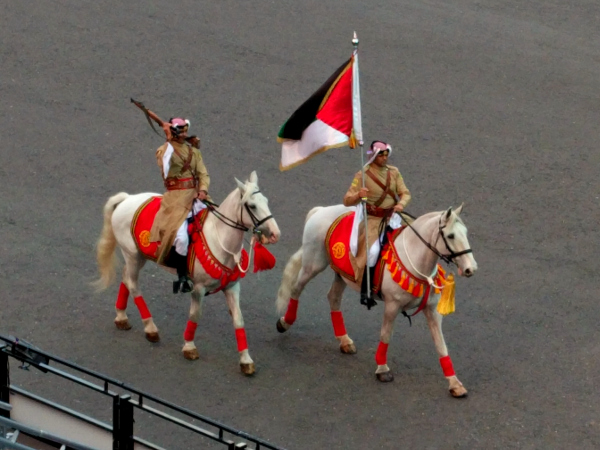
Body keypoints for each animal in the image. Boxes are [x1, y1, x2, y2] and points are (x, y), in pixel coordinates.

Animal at [95, 171, 280, 374]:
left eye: (266, 201)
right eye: (252, 206)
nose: (275, 233)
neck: (219, 239)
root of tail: (127, 198)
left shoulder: (232, 287)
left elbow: (239, 320)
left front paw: (245, 360)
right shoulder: (198, 288)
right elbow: (195, 315)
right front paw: (189, 346)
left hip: (136, 257)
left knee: (126, 278)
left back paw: (121, 317)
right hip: (133, 256)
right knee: (133, 285)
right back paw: (150, 328)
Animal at [276, 205, 478, 398]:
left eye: (465, 232)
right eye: (450, 235)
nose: (471, 269)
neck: (415, 258)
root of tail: (320, 210)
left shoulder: (432, 310)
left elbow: (441, 345)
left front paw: (455, 384)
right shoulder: (392, 306)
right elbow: (385, 335)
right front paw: (382, 369)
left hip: (342, 274)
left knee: (333, 297)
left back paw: (344, 341)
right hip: (313, 265)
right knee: (296, 289)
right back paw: (285, 322)